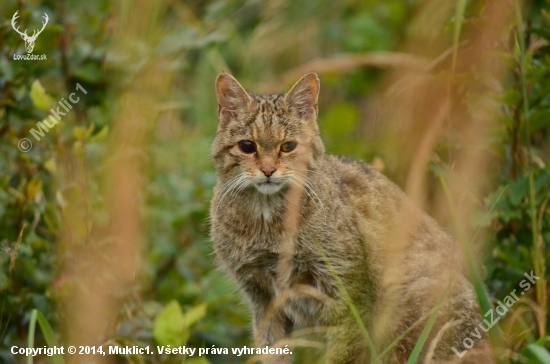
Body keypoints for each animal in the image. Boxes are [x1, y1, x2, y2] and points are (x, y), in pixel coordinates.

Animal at [209, 72, 494, 362]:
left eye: (288, 146)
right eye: (247, 146)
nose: (268, 170)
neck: (267, 222)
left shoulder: (348, 301)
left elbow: (341, 355)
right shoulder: (263, 301)